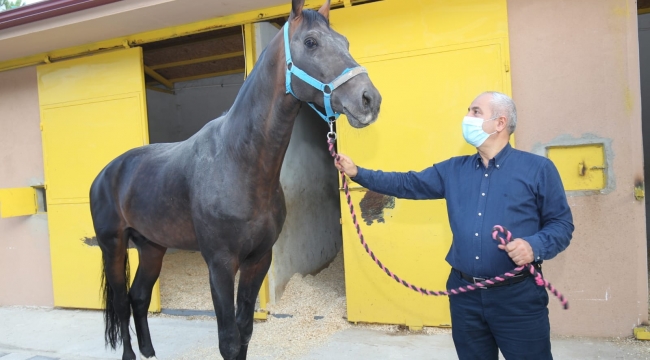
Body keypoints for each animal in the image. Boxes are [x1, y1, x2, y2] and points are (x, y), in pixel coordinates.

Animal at [86, 0, 380, 358]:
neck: (238, 163)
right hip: (113, 246)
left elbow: (245, 330)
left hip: (152, 247)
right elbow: (227, 338)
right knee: (121, 303)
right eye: (311, 42)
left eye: (345, 42)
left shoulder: (259, 259)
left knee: (139, 297)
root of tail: (106, 173)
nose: (369, 99)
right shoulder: (221, 264)